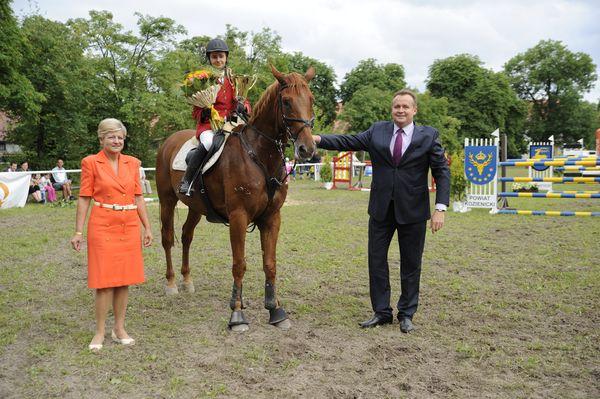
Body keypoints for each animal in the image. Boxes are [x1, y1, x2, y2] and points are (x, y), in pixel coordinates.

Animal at [156, 66, 318, 332]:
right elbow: (239, 264)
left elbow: (270, 263)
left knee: (186, 236)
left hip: (195, 207)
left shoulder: (272, 218)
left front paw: (275, 310)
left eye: (311, 99)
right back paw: (171, 284)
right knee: (168, 238)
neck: (258, 154)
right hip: (166, 201)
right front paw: (237, 314)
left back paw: (187, 280)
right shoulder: (239, 217)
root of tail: (169, 141)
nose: (307, 149)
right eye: (286, 101)